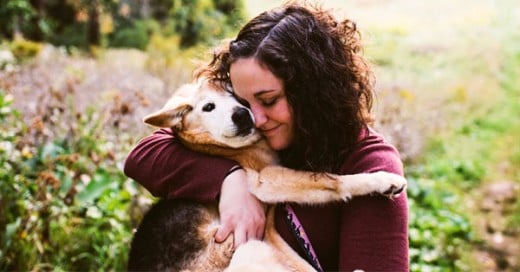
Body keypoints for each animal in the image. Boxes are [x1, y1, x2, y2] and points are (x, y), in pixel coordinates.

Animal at [127, 79, 406, 272]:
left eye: (236, 96)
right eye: (208, 107)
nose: (241, 114)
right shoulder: (266, 180)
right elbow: (331, 179)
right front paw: (384, 180)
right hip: (252, 245)